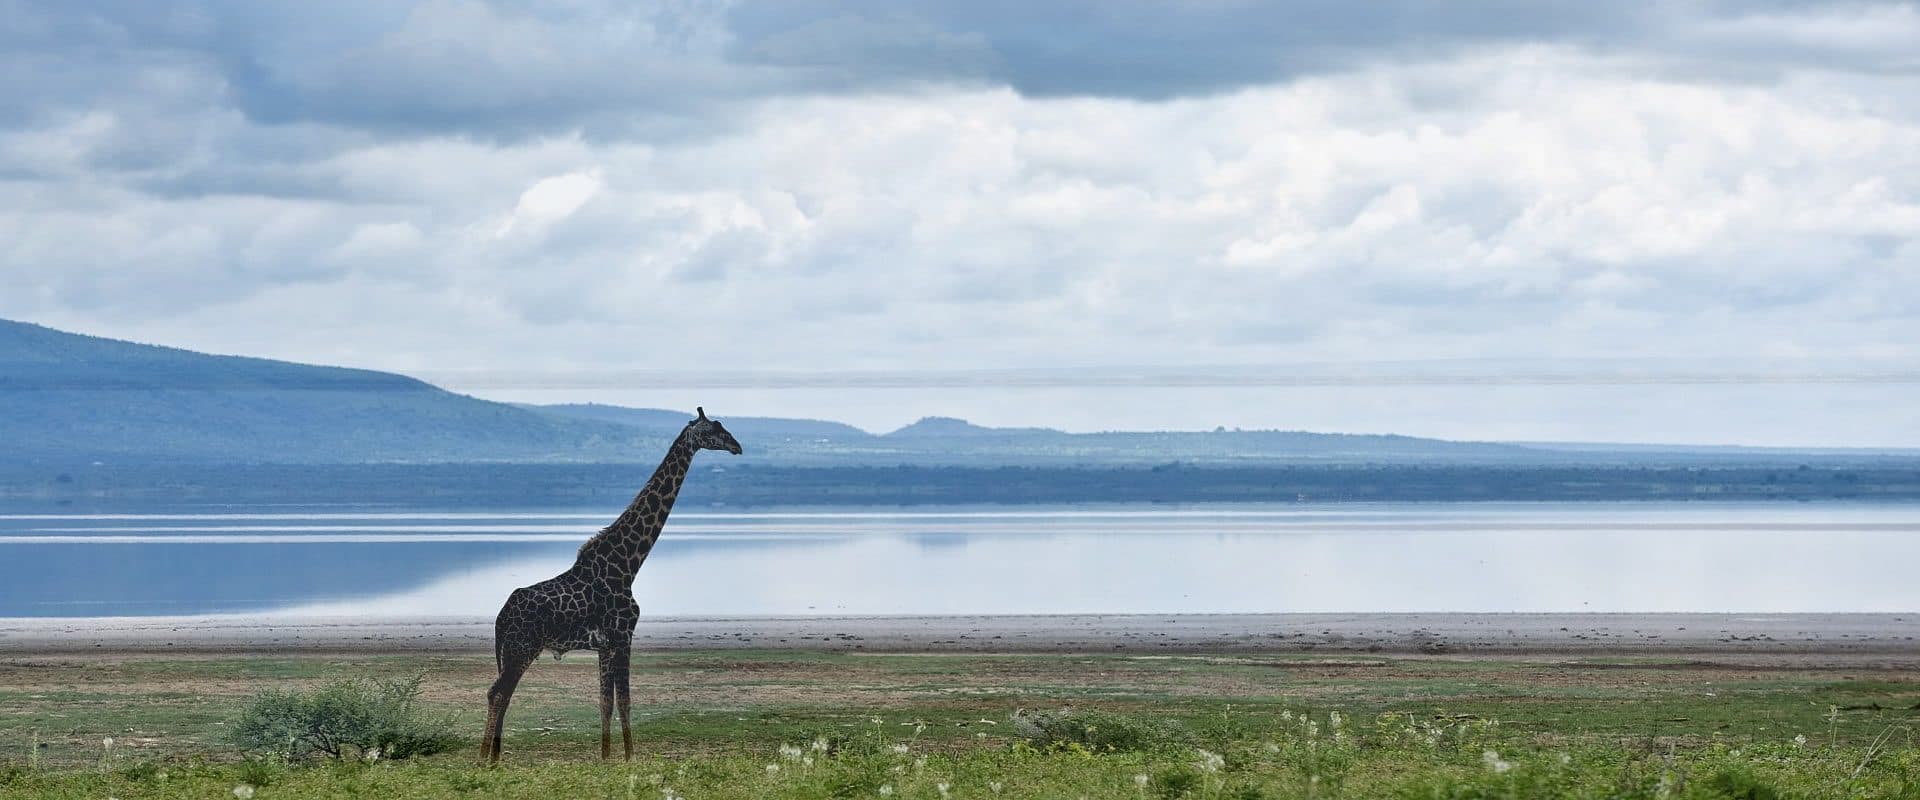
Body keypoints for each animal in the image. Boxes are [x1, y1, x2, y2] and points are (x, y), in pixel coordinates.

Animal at [480, 408, 742, 764]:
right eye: (713, 429)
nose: (737, 446)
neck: (628, 564)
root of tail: (500, 617)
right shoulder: (623, 635)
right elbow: (625, 700)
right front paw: (631, 758)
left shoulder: (605, 644)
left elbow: (605, 701)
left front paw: (605, 758)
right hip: (522, 648)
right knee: (497, 693)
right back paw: (484, 759)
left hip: (511, 651)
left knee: (502, 695)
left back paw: (495, 758)